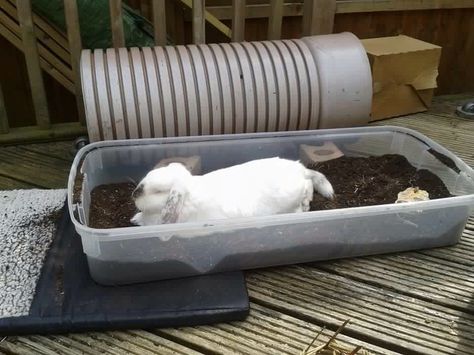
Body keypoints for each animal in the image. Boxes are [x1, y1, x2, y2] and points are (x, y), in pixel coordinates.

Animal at [131, 158, 334, 227]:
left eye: (158, 191)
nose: (134, 194)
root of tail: (299, 169)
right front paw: (134, 219)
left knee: (307, 189)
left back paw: (306, 205)